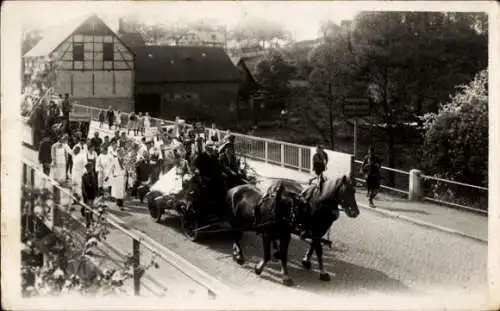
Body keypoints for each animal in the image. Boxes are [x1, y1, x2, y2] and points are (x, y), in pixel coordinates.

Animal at [227, 176, 360, 286]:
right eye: (345, 192)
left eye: (354, 192)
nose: (355, 213)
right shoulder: (313, 230)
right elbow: (317, 249)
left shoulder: (318, 231)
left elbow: (317, 248)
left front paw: (316, 267)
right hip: (236, 222)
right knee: (236, 234)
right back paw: (239, 254)